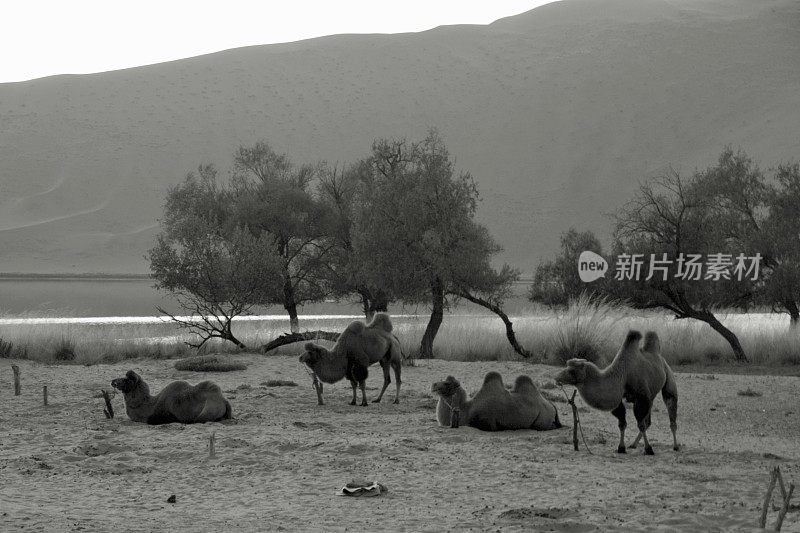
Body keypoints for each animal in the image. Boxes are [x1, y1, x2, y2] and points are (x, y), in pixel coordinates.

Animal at [432, 372, 564, 430]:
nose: (433, 385)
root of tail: (552, 405)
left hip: (542, 419)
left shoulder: (486, 421)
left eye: (447, 383)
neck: (466, 411)